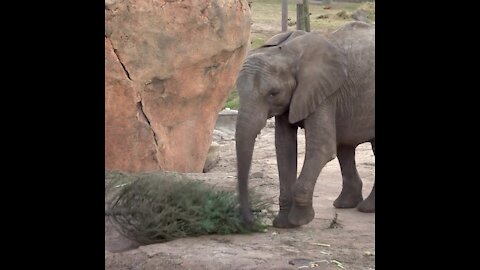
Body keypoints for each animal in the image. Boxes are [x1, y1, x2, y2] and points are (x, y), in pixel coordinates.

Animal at [236, 21, 376, 228]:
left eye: (273, 93)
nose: (253, 220)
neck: (288, 52)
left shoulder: (325, 93)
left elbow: (321, 149)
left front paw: (299, 220)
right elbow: (284, 147)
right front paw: (282, 223)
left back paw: (366, 209)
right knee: (344, 147)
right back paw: (346, 205)